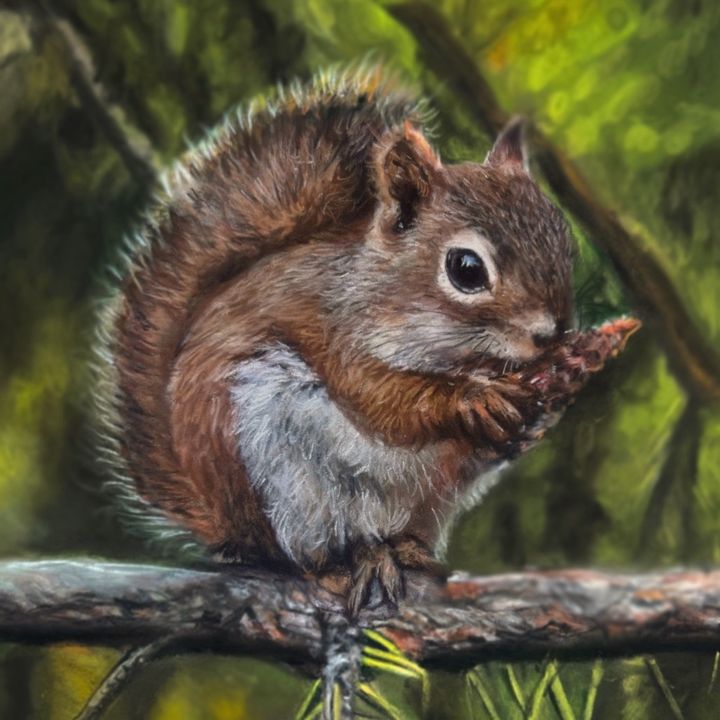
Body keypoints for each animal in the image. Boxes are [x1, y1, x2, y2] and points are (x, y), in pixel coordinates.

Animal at [95, 67, 635, 615]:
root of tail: (222, 520)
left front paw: (552, 395)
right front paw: (474, 399)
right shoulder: (335, 334)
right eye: (466, 268)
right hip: (274, 465)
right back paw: (347, 563)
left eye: (564, 242)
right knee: (299, 551)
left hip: (429, 499)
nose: (550, 335)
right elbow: (382, 399)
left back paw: (409, 552)